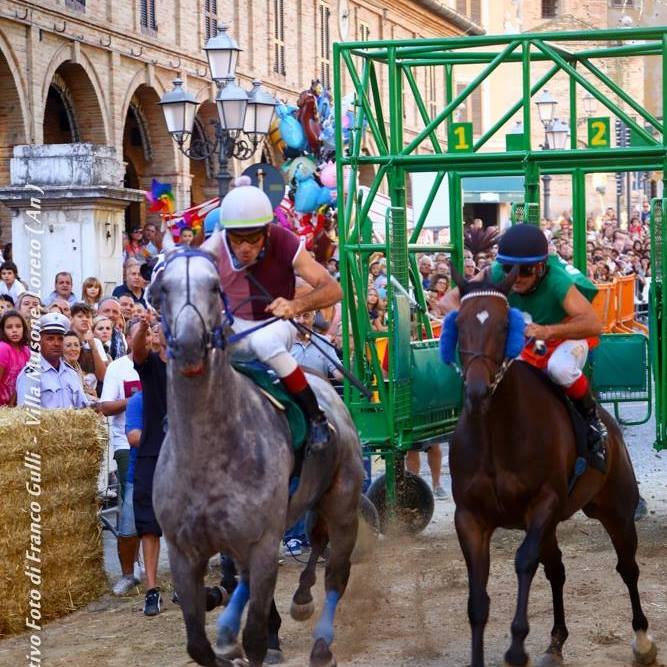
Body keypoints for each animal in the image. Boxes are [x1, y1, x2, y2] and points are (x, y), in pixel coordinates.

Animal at [152, 235, 366, 667]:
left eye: (214, 286)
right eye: (163, 287)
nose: (189, 346)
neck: (206, 456)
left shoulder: (264, 543)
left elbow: (253, 637)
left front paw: (257, 641)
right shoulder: (185, 552)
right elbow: (197, 645)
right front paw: (224, 644)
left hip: (342, 504)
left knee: (336, 573)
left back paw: (321, 639)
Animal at [446, 268, 660, 664]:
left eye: (505, 325)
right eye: (460, 324)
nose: (477, 391)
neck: (495, 432)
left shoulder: (543, 503)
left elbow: (523, 561)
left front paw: (517, 646)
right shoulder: (469, 516)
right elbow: (478, 598)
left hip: (616, 507)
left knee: (627, 566)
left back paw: (642, 640)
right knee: (557, 570)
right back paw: (556, 642)